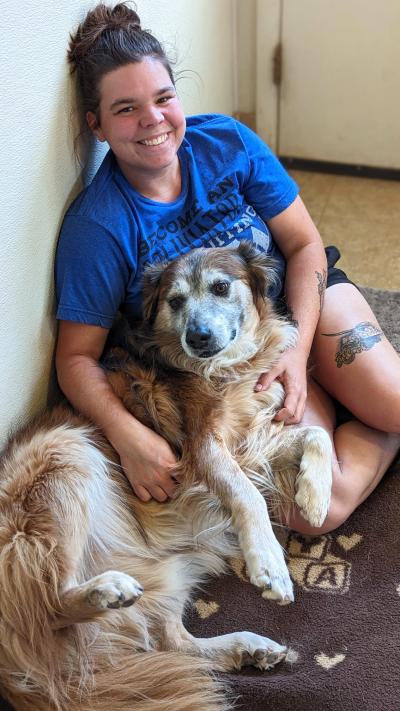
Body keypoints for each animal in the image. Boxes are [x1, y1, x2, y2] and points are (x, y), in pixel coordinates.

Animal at [0, 242, 332, 708]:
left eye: (221, 287)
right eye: (174, 302)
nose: (198, 337)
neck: (226, 368)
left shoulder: (253, 443)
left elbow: (318, 435)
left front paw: (314, 497)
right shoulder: (203, 446)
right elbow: (247, 495)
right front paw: (268, 562)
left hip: (174, 569)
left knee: (171, 640)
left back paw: (247, 648)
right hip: (65, 453)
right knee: (52, 606)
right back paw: (105, 590)